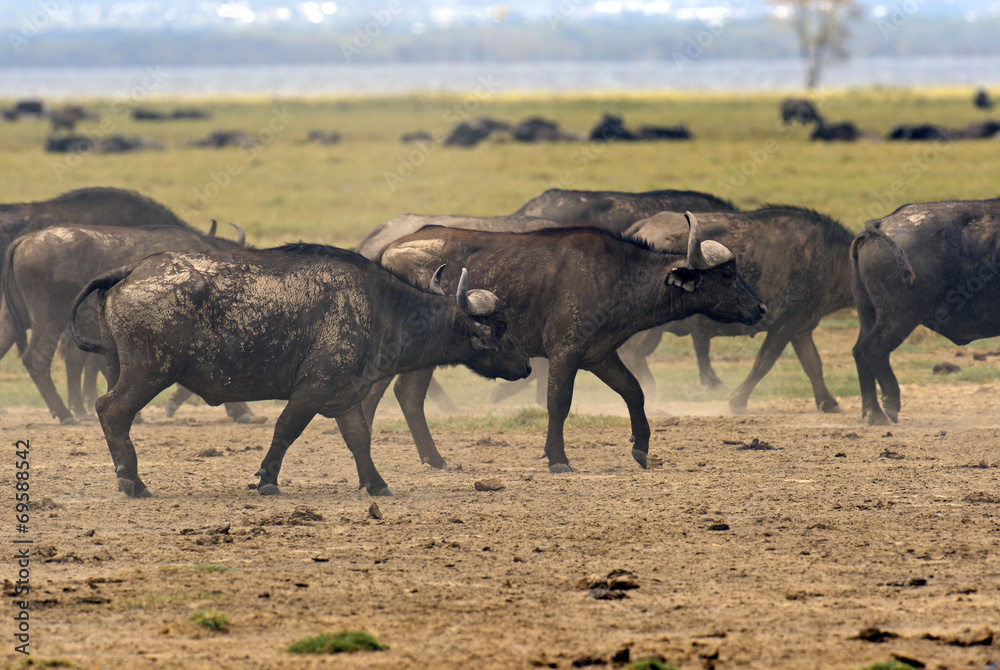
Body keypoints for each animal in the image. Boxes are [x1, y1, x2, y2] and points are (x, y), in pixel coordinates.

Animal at [69, 244, 531, 498]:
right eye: (499, 327)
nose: (527, 365)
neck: (380, 309)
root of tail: (134, 269)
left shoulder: (345, 397)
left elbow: (360, 440)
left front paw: (377, 483)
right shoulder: (312, 391)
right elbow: (285, 430)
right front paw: (267, 480)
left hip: (121, 368)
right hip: (149, 374)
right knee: (111, 411)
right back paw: (134, 483)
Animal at [370, 214, 766, 473]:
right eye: (727, 274)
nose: (761, 308)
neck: (619, 276)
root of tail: (388, 252)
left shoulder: (601, 355)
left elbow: (634, 392)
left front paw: (641, 449)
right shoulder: (565, 351)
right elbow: (558, 403)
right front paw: (558, 458)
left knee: (402, 394)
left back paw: (433, 459)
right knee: (395, 393)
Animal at [851, 198, 1000, 425]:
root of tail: (883, 223)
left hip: (868, 313)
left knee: (859, 351)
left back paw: (873, 413)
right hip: (899, 317)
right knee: (872, 348)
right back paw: (890, 405)